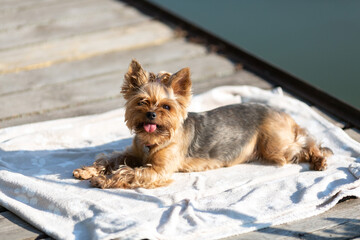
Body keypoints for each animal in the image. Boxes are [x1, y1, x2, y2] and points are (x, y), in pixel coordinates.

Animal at [72, 59, 332, 188]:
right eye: (142, 102)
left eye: (166, 107)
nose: (151, 115)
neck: (153, 140)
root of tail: (284, 114)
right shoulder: (133, 153)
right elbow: (112, 159)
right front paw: (88, 170)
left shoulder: (157, 171)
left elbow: (128, 172)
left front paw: (103, 179)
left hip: (274, 146)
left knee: (307, 143)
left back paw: (319, 159)